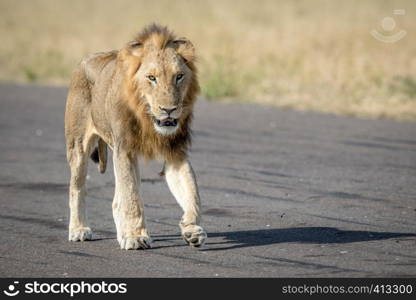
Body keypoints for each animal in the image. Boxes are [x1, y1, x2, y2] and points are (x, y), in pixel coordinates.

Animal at [64, 23, 206, 250]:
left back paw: (121, 234)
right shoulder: (125, 150)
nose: (169, 110)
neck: (147, 118)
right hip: (78, 146)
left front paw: (192, 229)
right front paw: (136, 237)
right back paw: (79, 230)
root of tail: (85, 60)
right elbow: (131, 198)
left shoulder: (175, 151)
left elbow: (192, 193)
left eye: (178, 76)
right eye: (152, 78)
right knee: (76, 188)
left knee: (116, 201)